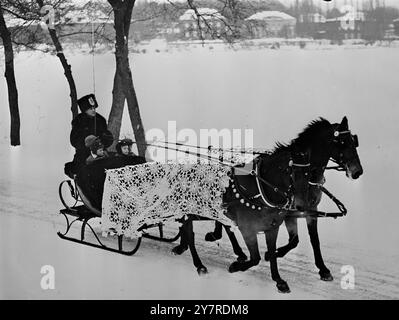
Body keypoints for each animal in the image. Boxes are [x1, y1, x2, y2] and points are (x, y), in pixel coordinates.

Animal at [173, 116, 364, 294]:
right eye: (341, 143)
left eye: (353, 141)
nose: (358, 172)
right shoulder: (288, 214)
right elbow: (292, 241)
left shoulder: (308, 211)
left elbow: (310, 240)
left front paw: (322, 269)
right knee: (191, 227)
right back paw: (194, 251)